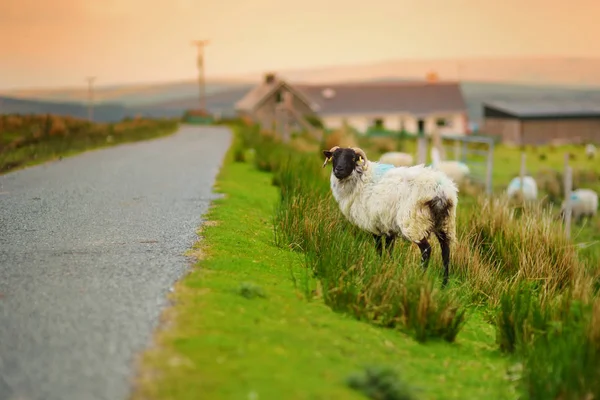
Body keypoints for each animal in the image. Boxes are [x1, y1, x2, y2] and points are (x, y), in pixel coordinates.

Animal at [324, 145, 460, 286]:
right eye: (334, 156)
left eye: (352, 158)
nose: (338, 170)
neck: (360, 180)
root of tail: (441, 190)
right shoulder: (388, 226)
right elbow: (389, 249)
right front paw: (388, 266)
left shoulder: (374, 225)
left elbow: (379, 248)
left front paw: (378, 266)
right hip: (445, 223)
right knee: (446, 251)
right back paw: (444, 284)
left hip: (414, 222)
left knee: (427, 250)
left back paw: (421, 278)